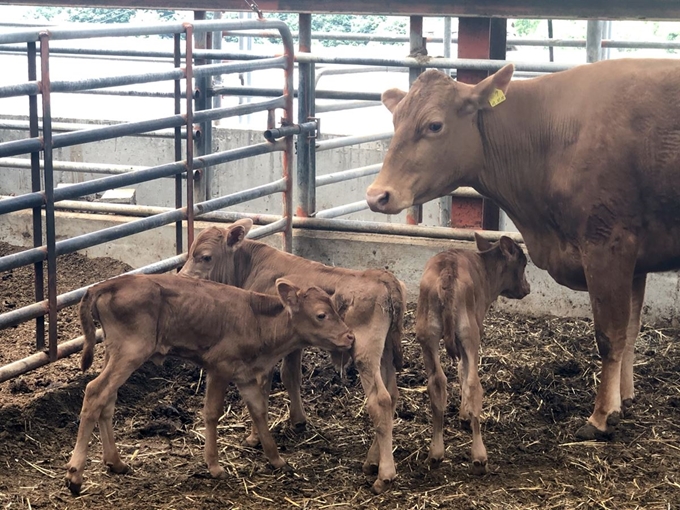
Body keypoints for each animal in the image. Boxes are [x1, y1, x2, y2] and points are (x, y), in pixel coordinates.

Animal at [63, 274, 354, 494]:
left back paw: (116, 462)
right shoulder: (219, 366)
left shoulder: (246, 375)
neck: (258, 322)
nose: (350, 336)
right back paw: (75, 475)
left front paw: (277, 459)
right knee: (95, 391)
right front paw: (214, 467)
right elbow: (212, 413)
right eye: (321, 315)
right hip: (131, 351)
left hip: (116, 352)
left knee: (107, 399)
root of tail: (110, 283)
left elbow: (259, 411)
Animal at [178, 220, 406, 494]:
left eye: (205, 257)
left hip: (366, 353)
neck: (251, 266)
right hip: (386, 354)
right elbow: (291, 376)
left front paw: (254, 437)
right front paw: (297, 421)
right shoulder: (294, 341)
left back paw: (384, 474)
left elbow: (264, 388)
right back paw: (372, 461)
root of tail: (381, 277)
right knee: (391, 396)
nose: (181, 278)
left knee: (379, 400)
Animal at [370, 59, 680, 440]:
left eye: (434, 124)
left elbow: (610, 335)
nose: (377, 195)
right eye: (396, 121)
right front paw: (624, 398)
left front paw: (602, 415)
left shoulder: (608, 245)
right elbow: (630, 332)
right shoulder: (635, 259)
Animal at [414, 234, 532, 474]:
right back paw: (479, 456)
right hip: (470, 333)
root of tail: (447, 272)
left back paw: (436, 452)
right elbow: (464, 372)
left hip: (427, 334)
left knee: (437, 382)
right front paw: (466, 415)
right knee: (473, 384)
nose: (527, 288)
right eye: (523, 264)